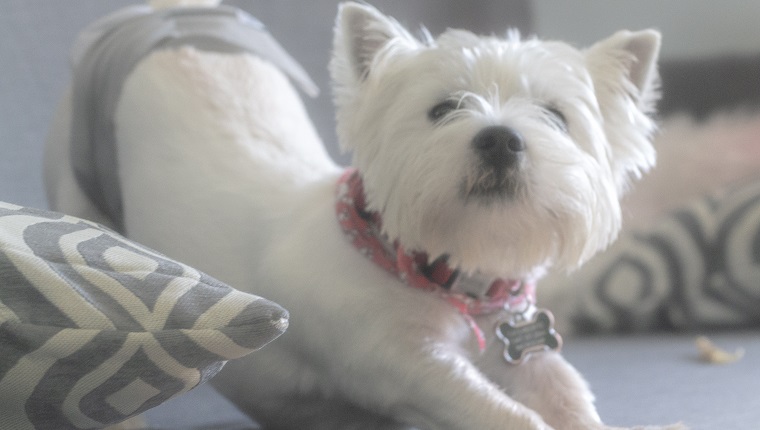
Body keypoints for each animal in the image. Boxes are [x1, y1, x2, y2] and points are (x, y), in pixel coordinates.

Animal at [49, 0, 688, 430]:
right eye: (443, 109)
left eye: (556, 116)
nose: (500, 139)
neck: (451, 274)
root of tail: (169, 13)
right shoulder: (399, 363)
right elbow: (506, 413)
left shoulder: (526, 353)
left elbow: (568, 396)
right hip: (77, 175)